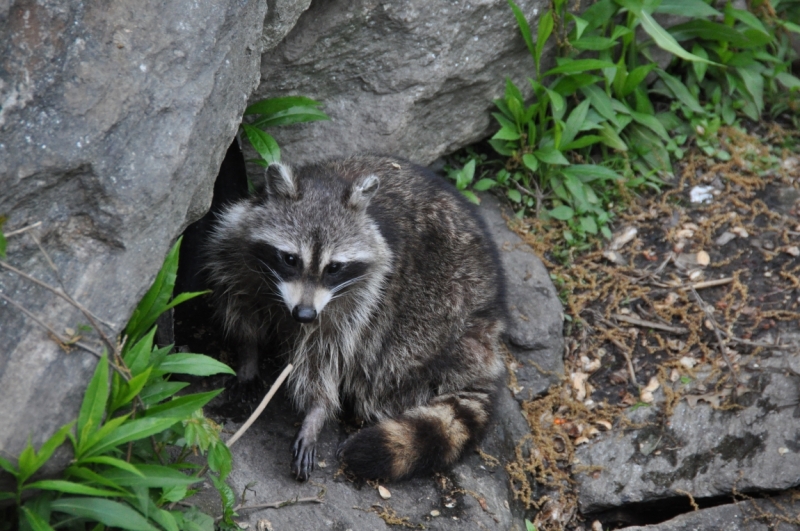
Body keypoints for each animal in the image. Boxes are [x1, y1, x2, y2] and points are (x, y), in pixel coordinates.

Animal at [206, 155, 506, 482]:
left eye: (334, 267)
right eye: (290, 259)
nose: (304, 314)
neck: (325, 182)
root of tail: (490, 326)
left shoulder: (361, 295)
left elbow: (326, 354)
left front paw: (316, 412)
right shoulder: (236, 249)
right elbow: (243, 311)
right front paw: (248, 357)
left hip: (438, 312)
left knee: (390, 356)